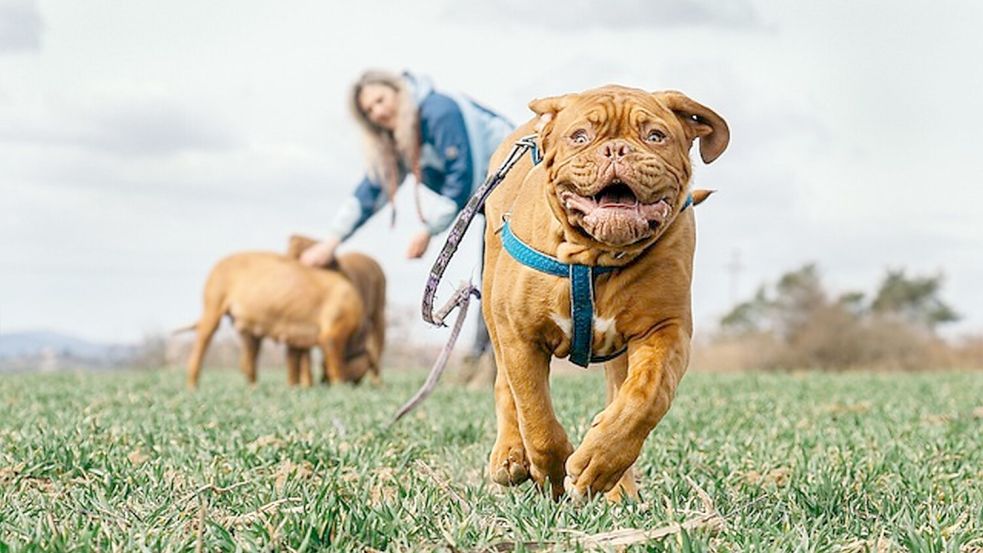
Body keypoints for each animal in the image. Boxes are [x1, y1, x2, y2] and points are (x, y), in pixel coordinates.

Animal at [480, 85, 728, 500]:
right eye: (580, 137)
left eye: (655, 136)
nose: (615, 149)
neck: (594, 255)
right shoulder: (521, 335)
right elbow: (535, 414)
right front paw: (552, 473)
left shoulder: (665, 330)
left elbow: (645, 397)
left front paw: (597, 462)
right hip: (491, 305)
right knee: (505, 387)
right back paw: (510, 456)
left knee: (618, 393)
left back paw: (618, 488)